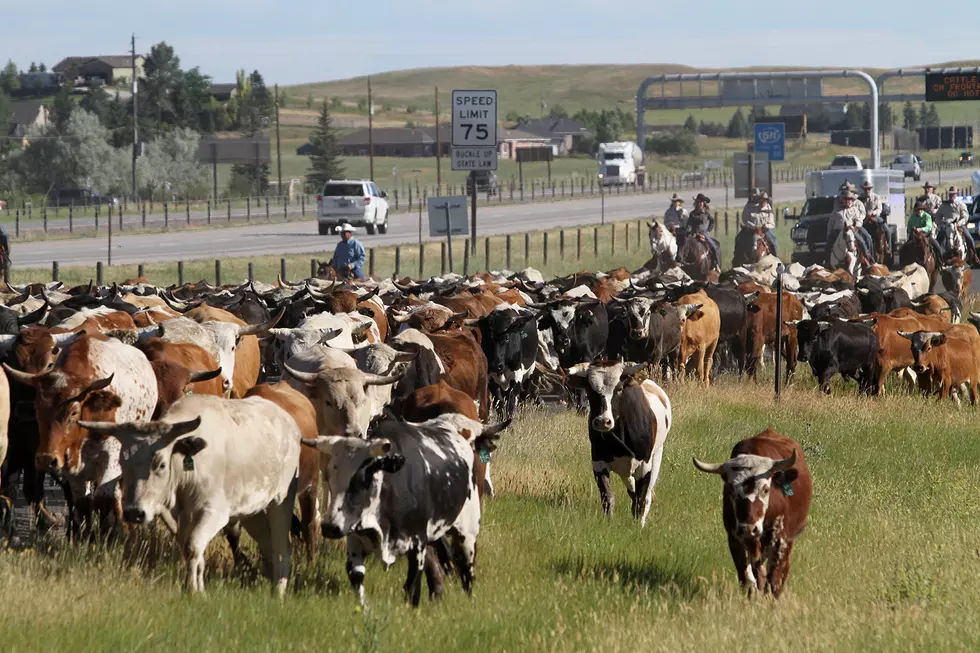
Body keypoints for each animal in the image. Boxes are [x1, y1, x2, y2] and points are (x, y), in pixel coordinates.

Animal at [302, 416, 510, 604]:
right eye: (330, 475)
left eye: (361, 478)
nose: (329, 527)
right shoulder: (355, 540)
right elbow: (357, 578)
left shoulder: (417, 545)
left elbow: (412, 587)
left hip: (467, 533)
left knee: (467, 572)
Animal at [564, 362, 668, 524]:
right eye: (590, 390)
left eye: (619, 389)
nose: (603, 421)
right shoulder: (598, 463)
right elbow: (607, 496)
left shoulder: (645, 465)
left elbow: (641, 500)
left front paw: (638, 524)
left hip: (656, 455)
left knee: (646, 495)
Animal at [692, 426, 816, 600]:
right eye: (730, 490)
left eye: (765, 489)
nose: (749, 528)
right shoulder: (735, 539)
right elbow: (747, 577)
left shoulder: (781, 540)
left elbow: (774, 579)